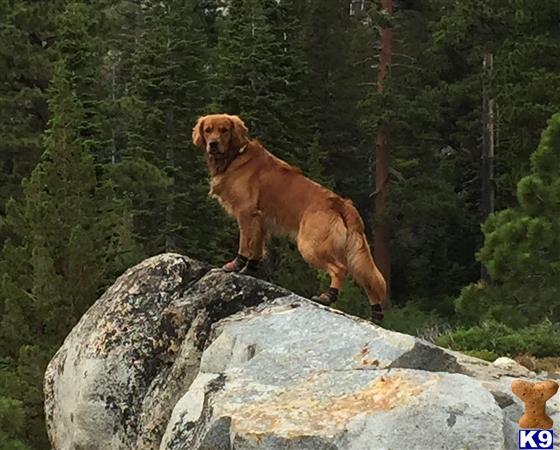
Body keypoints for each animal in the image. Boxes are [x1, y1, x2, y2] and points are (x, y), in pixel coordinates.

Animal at [190, 114, 388, 322]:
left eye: (224, 130)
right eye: (208, 130)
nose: (213, 144)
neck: (235, 156)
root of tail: (341, 203)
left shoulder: (246, 213)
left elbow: (245, 244)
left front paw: (235, 265)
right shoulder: (260, 221)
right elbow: (257, 250)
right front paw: (250, 270)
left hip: (310, 245)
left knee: (340, 269)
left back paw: (327, 296)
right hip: (353, 250)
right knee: (368, 280)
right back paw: (376, 315)